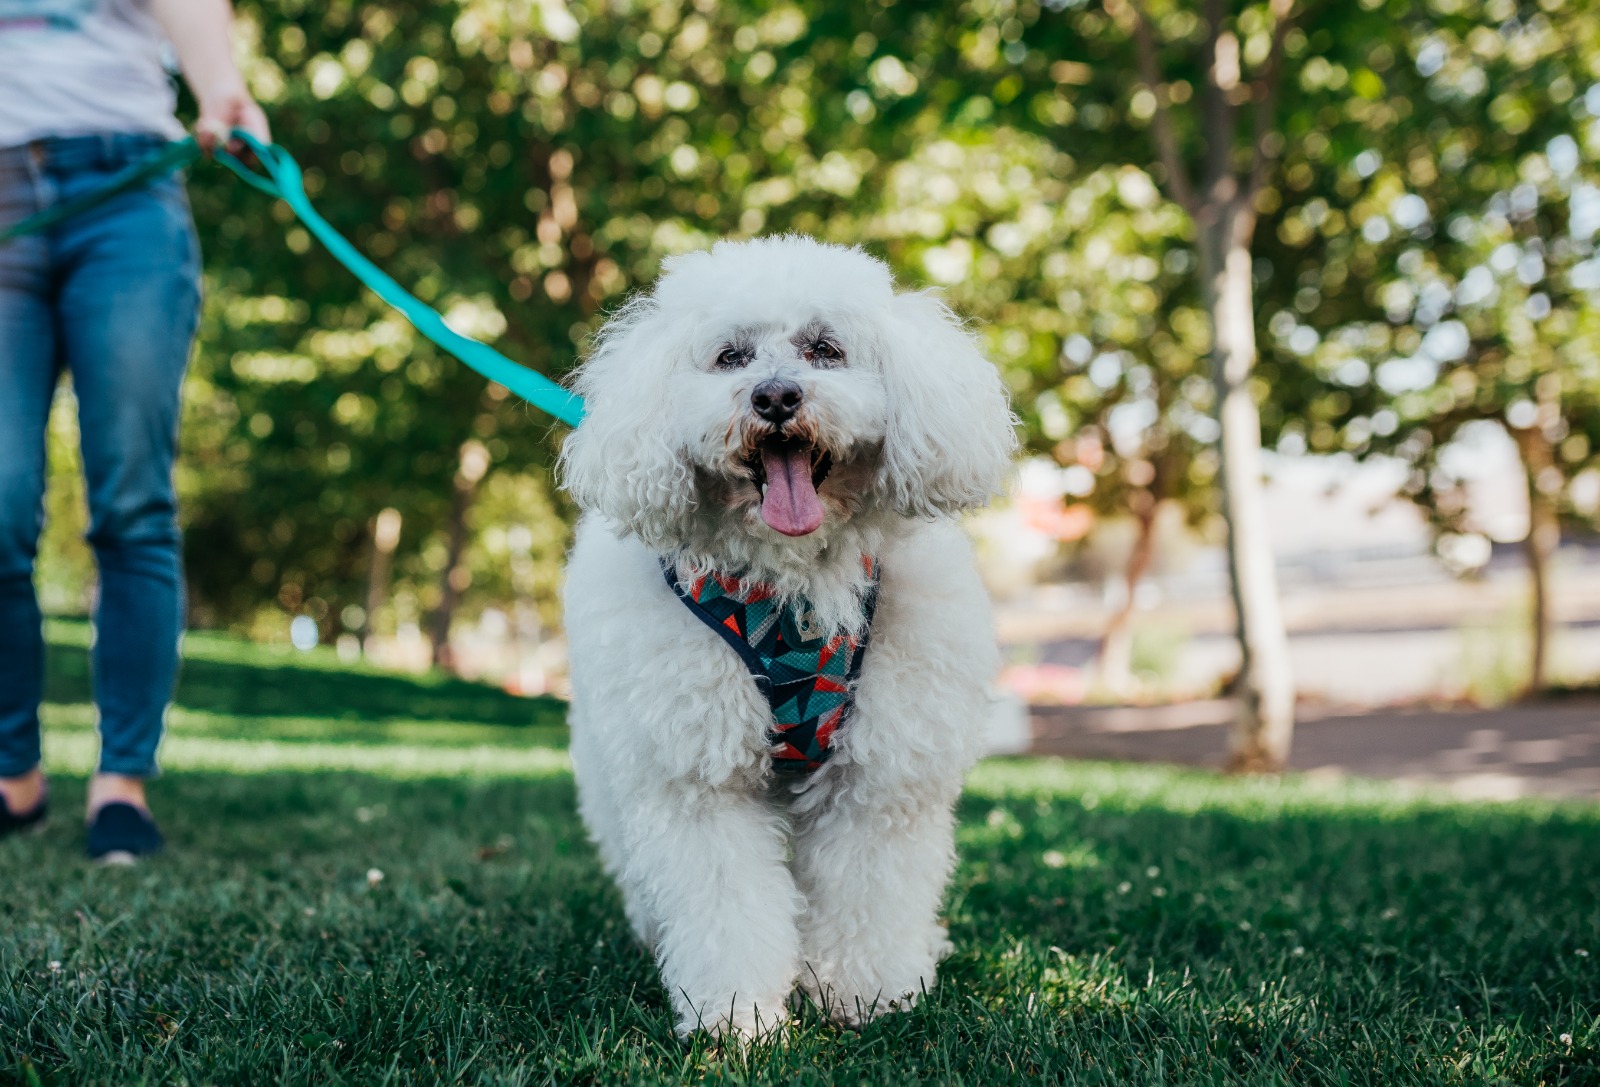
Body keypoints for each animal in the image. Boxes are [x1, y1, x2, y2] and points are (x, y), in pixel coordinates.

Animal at [563, 232, 1011, 1037]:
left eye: (825, 349)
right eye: (730, 357)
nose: (775, 396)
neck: (792, 580)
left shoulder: (879, 780)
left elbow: (871, 895)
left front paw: (869, 994)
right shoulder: (700, 782)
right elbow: (725, 907)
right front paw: (736, 1016)